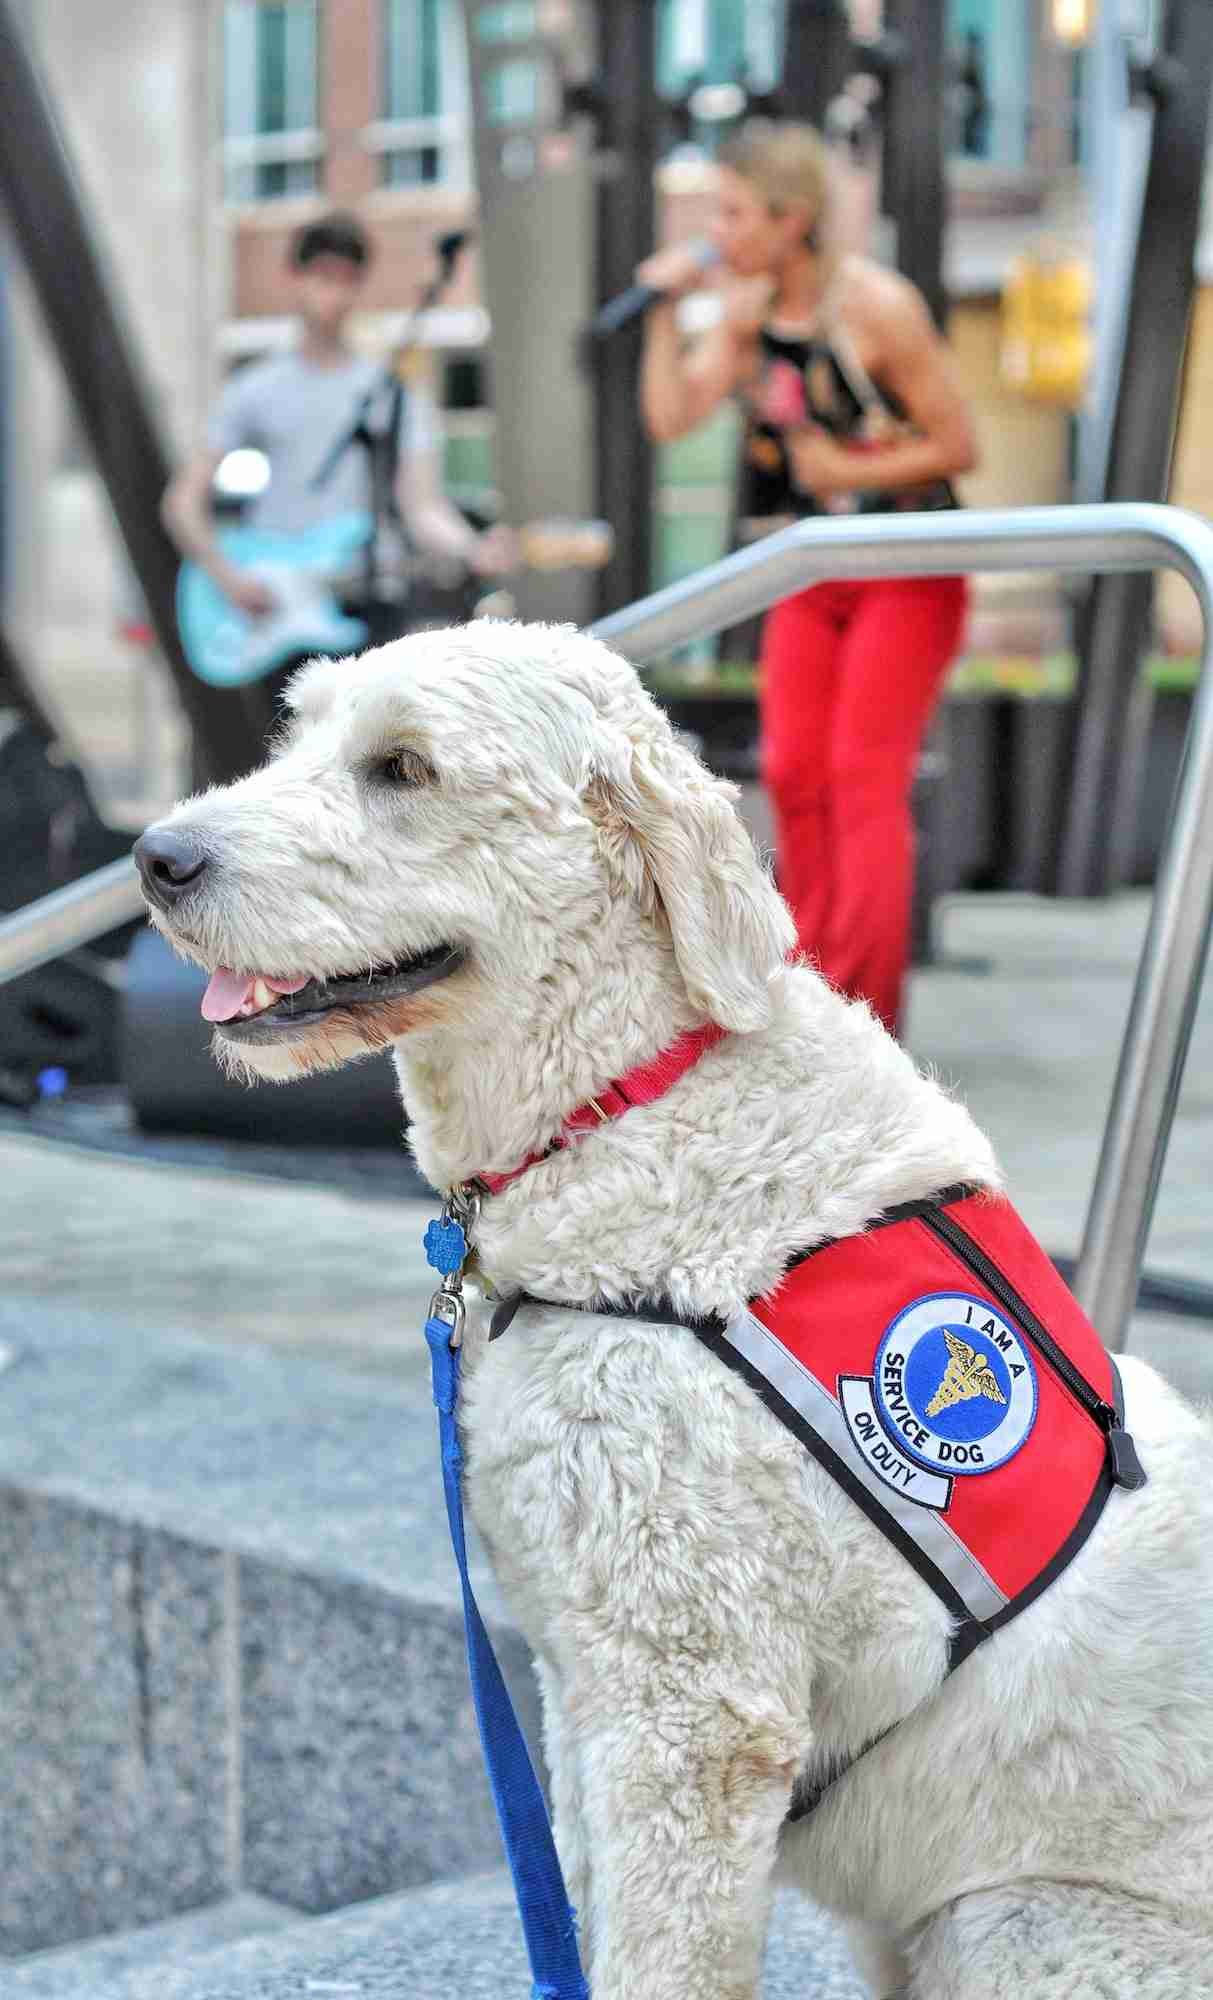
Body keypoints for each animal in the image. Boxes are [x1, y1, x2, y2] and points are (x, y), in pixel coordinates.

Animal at [135, 624, 1213, 2000]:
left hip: (1017, 1921)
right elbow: (582, 1911)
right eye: (297, 732)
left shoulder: (690, 1714)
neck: (631, 1098)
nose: (156, 858)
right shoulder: (582, 1684)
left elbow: (660, 1954)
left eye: (404, 767)